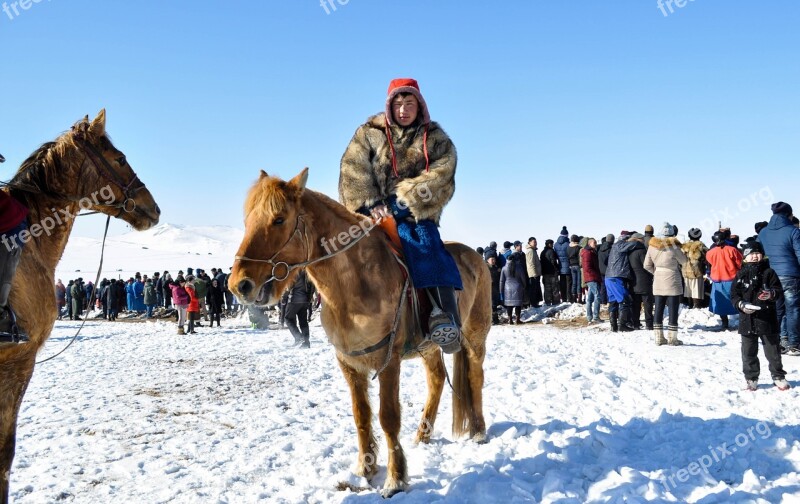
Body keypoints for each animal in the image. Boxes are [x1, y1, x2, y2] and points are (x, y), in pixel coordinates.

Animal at [231, 168, 490, 496]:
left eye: (278, 219)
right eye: (247, 220)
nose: (239, 285)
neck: (354, 285)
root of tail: (475, 257)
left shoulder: (388, 360)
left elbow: (388, 417)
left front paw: (395, 479)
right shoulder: (349, 363)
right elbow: (361, 417)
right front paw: (365, 470)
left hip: (475, 335)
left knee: (475, 376)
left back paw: (479, 430)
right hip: (428, 348)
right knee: (437, 380)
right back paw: (423, 434)